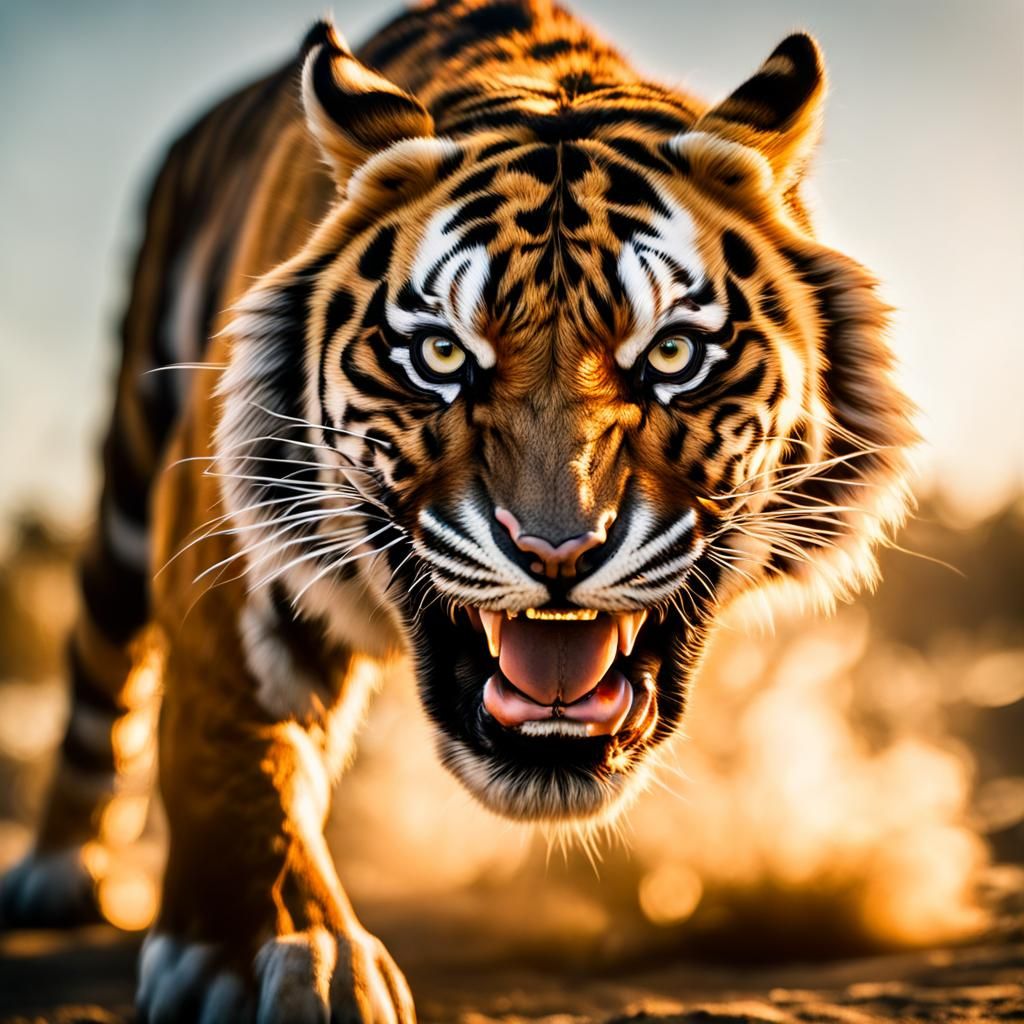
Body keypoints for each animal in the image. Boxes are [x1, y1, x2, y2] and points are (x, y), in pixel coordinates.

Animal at [0, 0, 915, 1020]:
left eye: (672, 354)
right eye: (441, 355)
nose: (557, 552)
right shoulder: (226, 532)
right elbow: (228, 739)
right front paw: (269, 955)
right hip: (128, 459)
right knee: (102, 662)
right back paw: (56, 875)